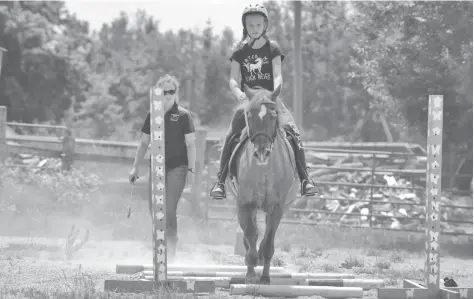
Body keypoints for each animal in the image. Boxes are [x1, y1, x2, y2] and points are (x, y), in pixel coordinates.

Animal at [225, 85, 296, 286]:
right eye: (249, 116)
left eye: (273, 115)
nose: (262, 152)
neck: (264, 170)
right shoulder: (245, 205)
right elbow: (250, 234)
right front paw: (250, 271)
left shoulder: (277, 207)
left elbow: (268, 241)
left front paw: (264, 277)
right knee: (250, 235)